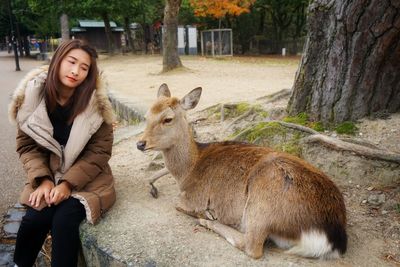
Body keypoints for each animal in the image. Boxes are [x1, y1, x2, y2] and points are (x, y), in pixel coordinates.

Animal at [137, 84, 346, 260]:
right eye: (146, 117)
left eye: (167, 119)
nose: (140, 144)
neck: (187, 171)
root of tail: (332, 238)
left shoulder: (194, 196)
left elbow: (177, 204)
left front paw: (205, 212)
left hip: (262, 203)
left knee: (252, 246)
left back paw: (207, 219)